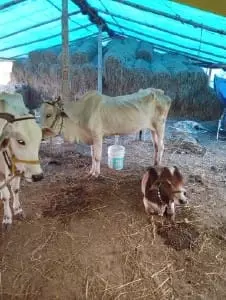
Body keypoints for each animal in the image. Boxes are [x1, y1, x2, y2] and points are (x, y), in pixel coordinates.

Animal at [0, 91, 43, 230]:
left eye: (40, 140)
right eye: (20, 141)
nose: (38, 176)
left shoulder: (19, 168)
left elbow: (15, 189)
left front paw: (18, 210)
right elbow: (6, 195)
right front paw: (7, 218)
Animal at [41, 86, 171, 176]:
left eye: (48, 115)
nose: (41, 134)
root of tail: (161, 93)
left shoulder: (97, 135)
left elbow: (97, 156)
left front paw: (96, 174)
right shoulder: (91, 137)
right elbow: (92, 155)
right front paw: (91, 171)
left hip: (160, 126)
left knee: (161, 146)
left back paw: (159, 167)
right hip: (153, 129)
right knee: (156, 146)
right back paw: (154, 165)